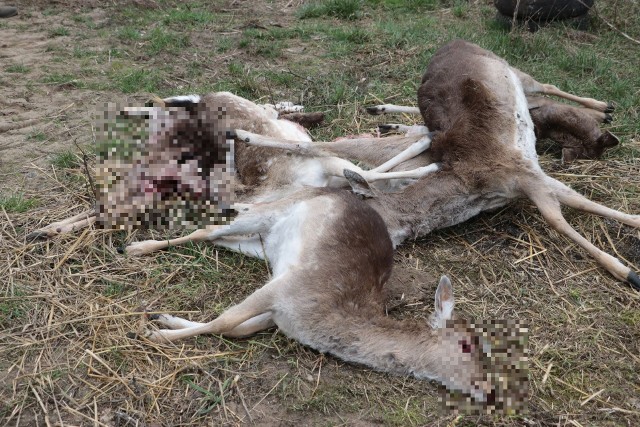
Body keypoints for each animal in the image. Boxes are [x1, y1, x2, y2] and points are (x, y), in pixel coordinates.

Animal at [135, 186, 496, 402]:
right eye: (467, 345)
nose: (489, 388)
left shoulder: (279, 311)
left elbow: (239, 329)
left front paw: (164, 320)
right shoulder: (287, 286)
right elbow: (226, 321)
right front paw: (156, 332)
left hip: (260, 246)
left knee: (218, 239)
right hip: (269, 213)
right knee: (211, 229)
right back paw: (137, 247)